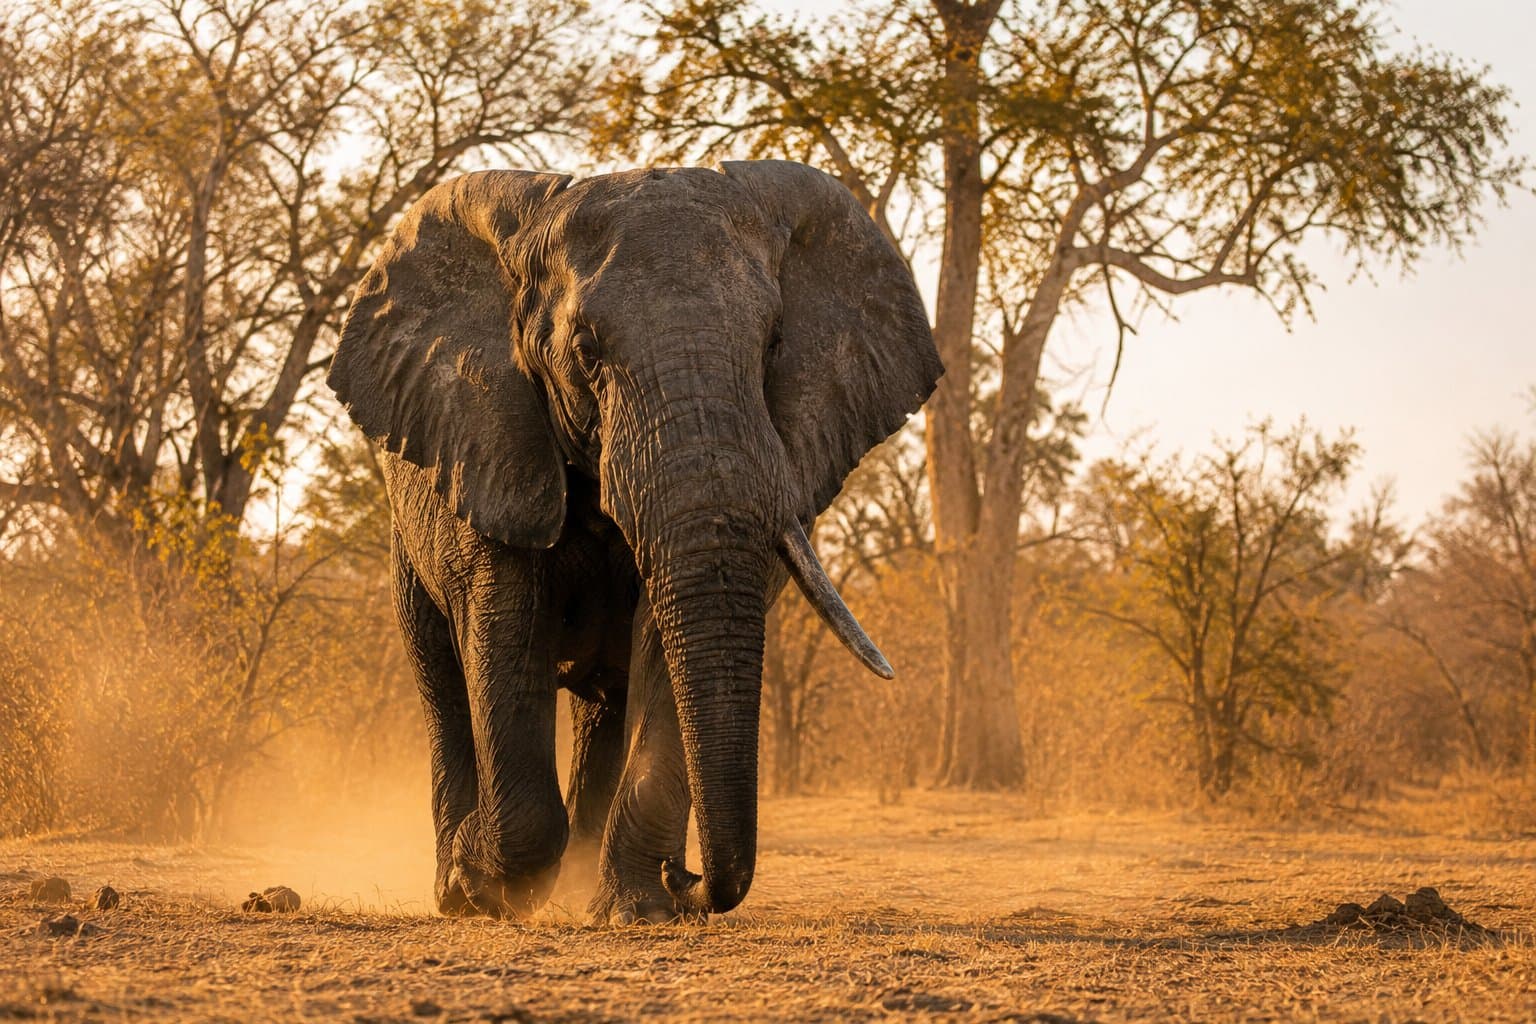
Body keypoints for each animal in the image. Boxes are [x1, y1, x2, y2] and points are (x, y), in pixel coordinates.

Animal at [327, 160, 941, 922]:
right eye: (585, 350)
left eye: (772, 345)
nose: (690, 877)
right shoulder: (493, 439)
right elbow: (504, 629)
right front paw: (483, 886)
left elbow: (664, 647)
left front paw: (636, 909)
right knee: (442, 679)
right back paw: (456, 890)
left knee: (605, 705)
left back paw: (580, 883)